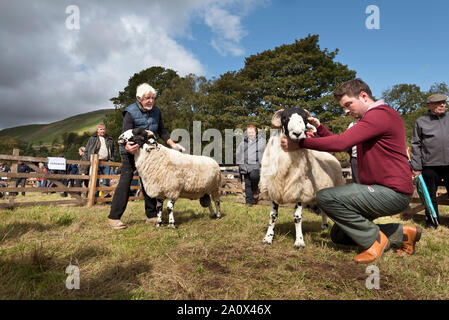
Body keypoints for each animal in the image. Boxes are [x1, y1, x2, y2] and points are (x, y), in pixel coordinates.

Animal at [258, 107, 344, 250]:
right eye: (285, 118)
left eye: (304, 119)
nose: (298, 133)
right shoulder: (274, 188)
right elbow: (273, 216)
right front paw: (267, 238)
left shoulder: (300, 189)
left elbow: (297, 218)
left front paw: (299, 242)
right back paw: (324, 226)